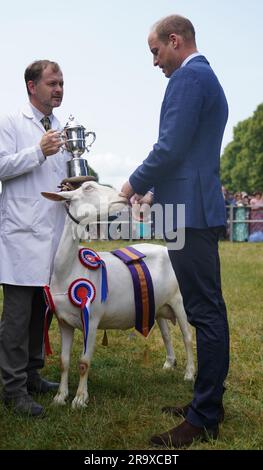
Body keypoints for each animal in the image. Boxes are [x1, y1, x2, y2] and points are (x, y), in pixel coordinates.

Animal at [42, 182, 196, 410]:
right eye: (87, 187)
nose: (123, 195)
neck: (70, 269)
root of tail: (165, 250)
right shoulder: (64, 322)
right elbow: (64, 361)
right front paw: (60, 397)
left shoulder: (92, 319)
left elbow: (83, 362)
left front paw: (80, 399)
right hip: (158, 305)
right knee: (167, 335)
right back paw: (169, 363)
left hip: (179, 301)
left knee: (187, 336)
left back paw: (189, 373)